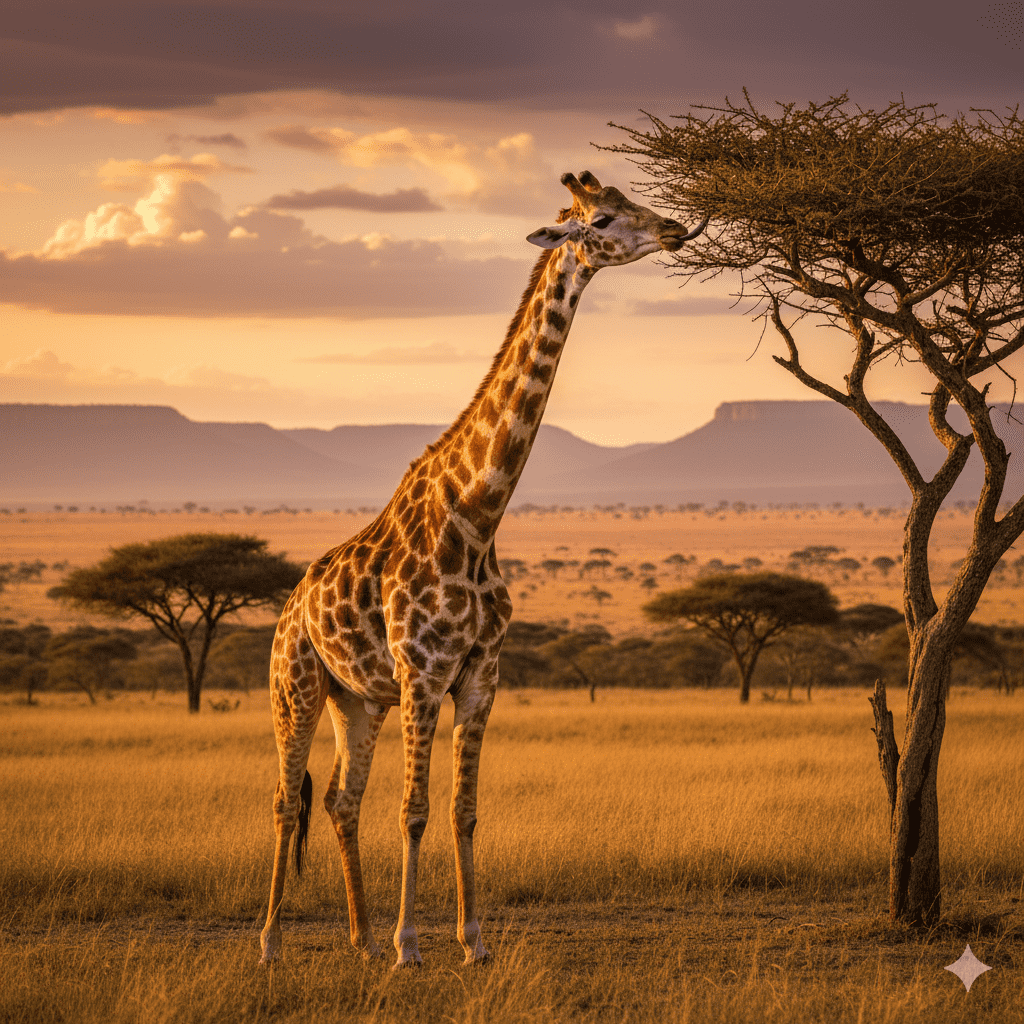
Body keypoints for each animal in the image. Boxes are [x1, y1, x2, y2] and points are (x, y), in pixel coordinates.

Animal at [259, 170, 706, 968]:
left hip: (357, 700)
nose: (676, 229)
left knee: (340, 800)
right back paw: (275, 942)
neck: (477, 515)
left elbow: (463, 810)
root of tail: (288, 610)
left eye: (630, 202)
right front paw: (412, 947)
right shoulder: (423, 673)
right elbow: (413, 810)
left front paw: (473, 943)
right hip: (298, 686)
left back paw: (360, 940)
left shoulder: (480, 675)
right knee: (287, 802)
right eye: (602, 219)